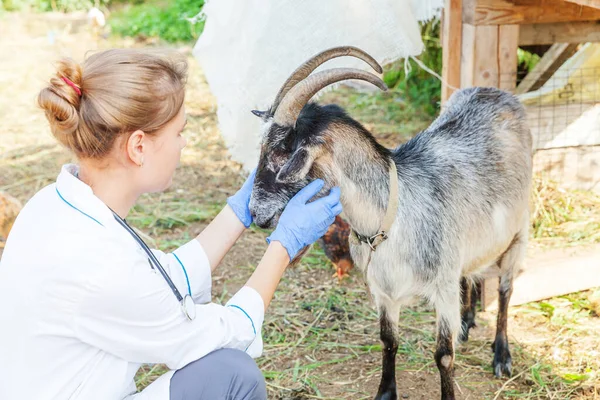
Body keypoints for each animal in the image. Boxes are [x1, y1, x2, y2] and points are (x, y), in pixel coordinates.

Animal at [248, 47, 536, 400]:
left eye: (280, 152)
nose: (256, 213)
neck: (394, 218)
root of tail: (498, 93)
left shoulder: (442, 286)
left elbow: (444, 355)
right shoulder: (384, 290)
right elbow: (388, 340)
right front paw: (385, 392)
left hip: (518, 231)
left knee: (506, 290)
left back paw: (501, 354)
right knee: (471, 274)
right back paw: (467, 322)